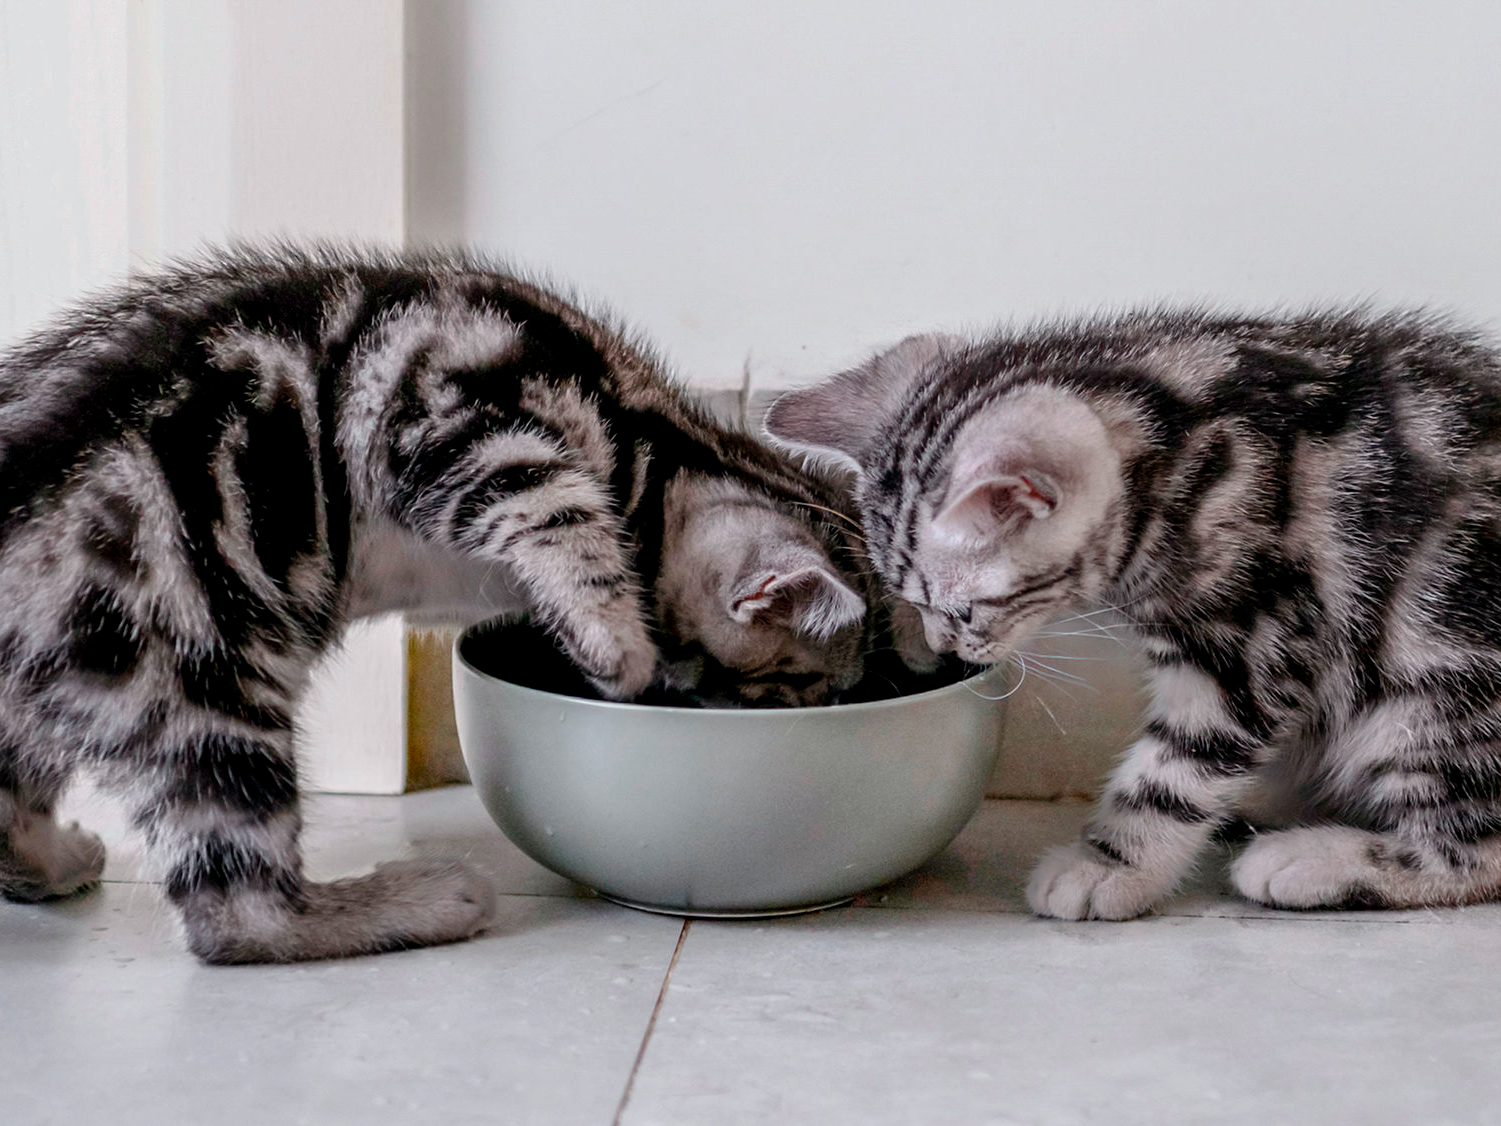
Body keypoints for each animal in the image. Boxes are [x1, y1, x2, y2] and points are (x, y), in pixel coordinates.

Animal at [768, 309, 1501, 918]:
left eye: (962, 610)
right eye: (910, 601)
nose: (945, 648)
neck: (1180, 440)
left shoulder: (1252, 643)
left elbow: (1176, 772)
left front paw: (1109, 866)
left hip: (1428, 695)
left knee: (1479, 845)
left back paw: (1313, 859)